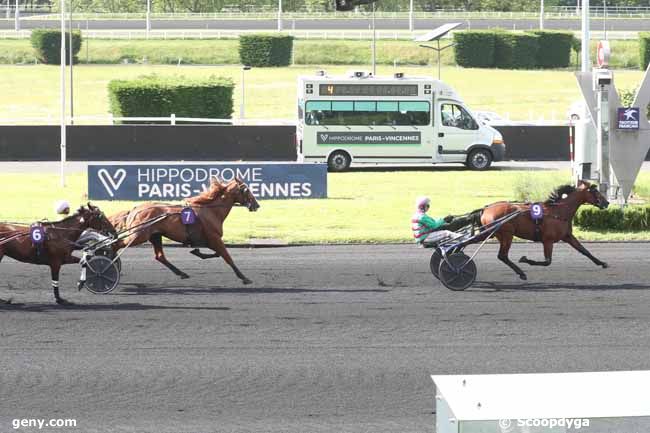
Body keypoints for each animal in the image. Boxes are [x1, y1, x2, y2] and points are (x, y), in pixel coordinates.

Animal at [112, 176, 260, 284]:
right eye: (246, 190)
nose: (257, 205)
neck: (211, 211)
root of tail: (134, 210)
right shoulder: (214, 238)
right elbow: (227, 257)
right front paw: (244, 278)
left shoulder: (210, 240)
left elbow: (217, 254)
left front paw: (197, 252)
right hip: (138, 236)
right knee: (116, 244)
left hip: (155, 236)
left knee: (160, 256)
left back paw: (182, 273)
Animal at [476, 180, 608, 278]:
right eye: (595, 190)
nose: (607, 202)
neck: (559, 212)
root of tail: (486, 209)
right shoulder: (548, 240)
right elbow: (547, 261)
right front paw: (525, 259)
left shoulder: (567, 236)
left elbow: (584, 250)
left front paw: (602, 263)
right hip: (506, 234)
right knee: (502, 256)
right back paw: (521, 273)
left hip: (492, 233)